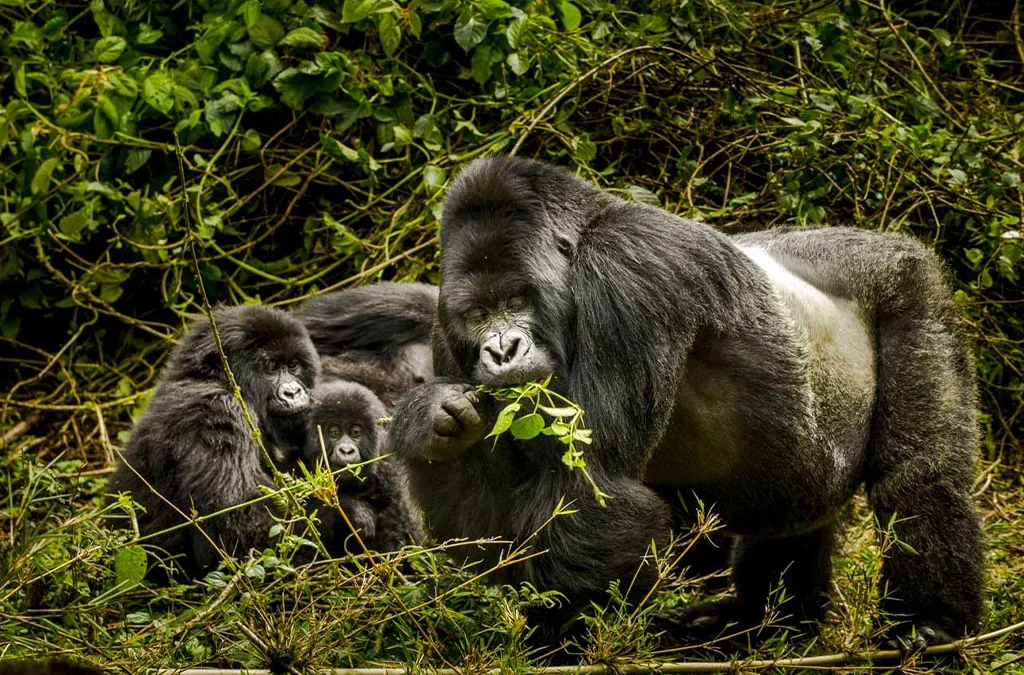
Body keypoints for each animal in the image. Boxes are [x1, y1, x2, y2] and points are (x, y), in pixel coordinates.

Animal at [108, 305, 320, 576]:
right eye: (271, 367)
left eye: (293, 365)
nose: (293, 392)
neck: (215, 378)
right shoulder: (218, 412)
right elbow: (243, 522)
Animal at [302, 380, 424, 555]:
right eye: (334, 432)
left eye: (355, 432)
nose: (346, 451)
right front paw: (354, 511)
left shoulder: (388, 467)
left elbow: (398, 524)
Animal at [385, 156, 984, 651]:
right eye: (478, 315)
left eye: (516, 301)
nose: (502, 349)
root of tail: (885, 239)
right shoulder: (446, 333)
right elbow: (485, 522)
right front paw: (435, 423)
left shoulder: (629, 267)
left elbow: (593, 488)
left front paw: (563, 642)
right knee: (793, 516)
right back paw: (763, 624)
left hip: (910, 285)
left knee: (918, 475)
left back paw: (933, 622)